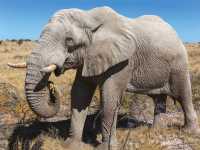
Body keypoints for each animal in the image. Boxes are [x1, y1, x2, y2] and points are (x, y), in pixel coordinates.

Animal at [16, 6, 200, 150]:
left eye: (69, 40)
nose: (51, 85)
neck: (89, 17)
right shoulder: (89, 57)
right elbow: (80, 93)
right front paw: (70, 145)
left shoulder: (123, 61)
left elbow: (109, 97)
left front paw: (106, 147)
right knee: (158, 98)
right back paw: (154, 131)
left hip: (179, 64)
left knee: (183, 96)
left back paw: (188, 131)